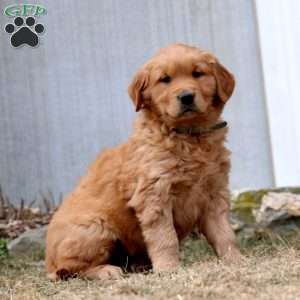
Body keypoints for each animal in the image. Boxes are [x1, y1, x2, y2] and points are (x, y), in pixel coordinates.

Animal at [45, 43, 240, 280]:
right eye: (165, 79)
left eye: (198, 73)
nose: (186, 96)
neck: (189, 136)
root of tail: (48, 262)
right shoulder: (154, 194)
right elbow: (165, 237)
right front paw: (168, 269)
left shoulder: (214, 193)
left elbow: (224, 233)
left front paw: (236, 260)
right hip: (94, 228)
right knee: (70, 269)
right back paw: (106, 271)